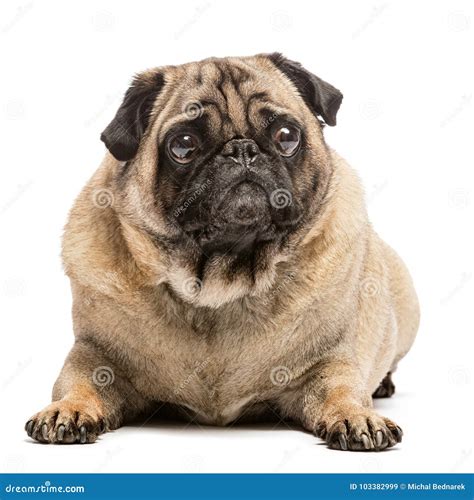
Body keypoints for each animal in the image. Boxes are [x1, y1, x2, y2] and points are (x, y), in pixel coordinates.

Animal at [25, 52, 418, 452]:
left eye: (287, 136)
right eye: (183, 145)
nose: (242, 149)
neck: (222, 284)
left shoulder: (332, 359)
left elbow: (343, 388)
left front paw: (357, 416)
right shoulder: (93, 354)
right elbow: (78, 383)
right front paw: (68, 409)